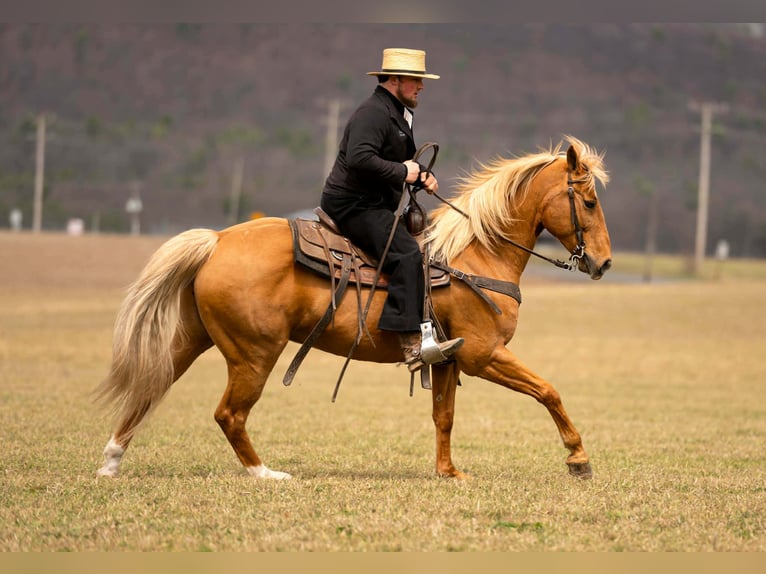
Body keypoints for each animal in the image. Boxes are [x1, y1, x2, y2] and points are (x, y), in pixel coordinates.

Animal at [95, 135, 611, 480]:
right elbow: (548, 391)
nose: (604, 263)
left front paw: (448, 472)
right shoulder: (482, 354)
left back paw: (112, 461)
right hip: (255, 354)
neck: (476, 255)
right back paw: (265, 474)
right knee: (229, 414)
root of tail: (218, 240)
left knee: (151, 387)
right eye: (588, 201)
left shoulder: (449, 360)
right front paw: (578, 459)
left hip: (193, 338)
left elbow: (443, 416)